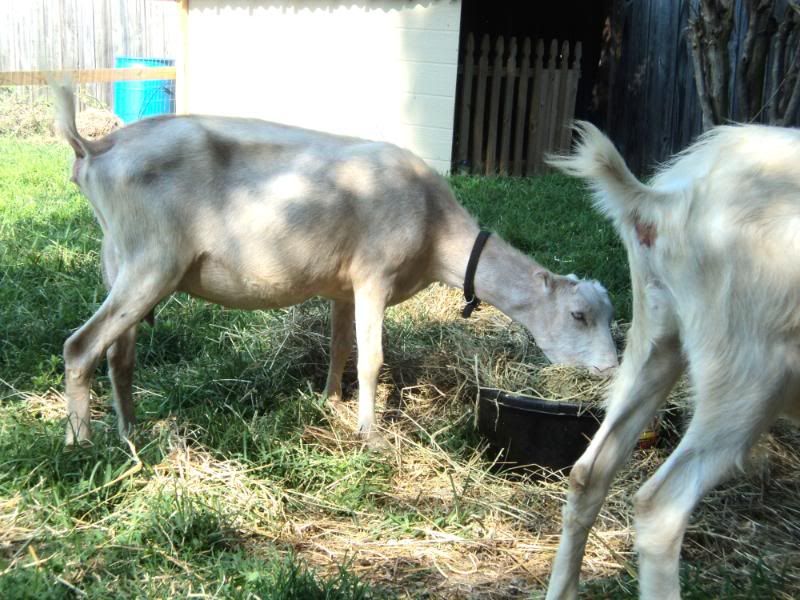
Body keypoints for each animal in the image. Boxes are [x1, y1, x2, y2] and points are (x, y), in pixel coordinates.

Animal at [53, 84, 618, 446]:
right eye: (578, 315)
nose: (611, 368)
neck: (435, 226)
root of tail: (94, 148)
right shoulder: (374, 277)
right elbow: (371, 359)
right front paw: (372, 437)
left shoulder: (344, 287)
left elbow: (341, 347)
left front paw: (331, 402)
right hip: (152, 260)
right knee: (80, 347)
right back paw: (82, 444)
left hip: (120, 259)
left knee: (118, 355)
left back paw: (131, 434)